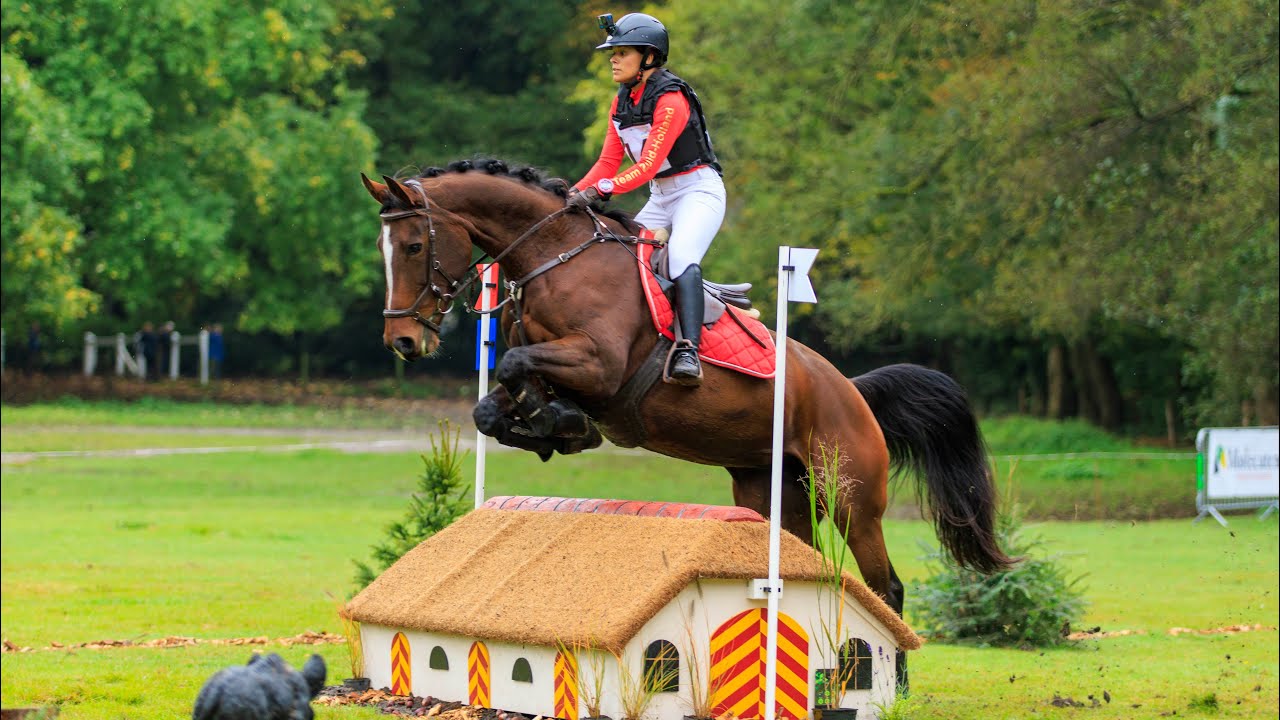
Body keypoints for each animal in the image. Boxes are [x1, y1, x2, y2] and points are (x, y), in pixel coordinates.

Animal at [362, 158, 1016, 624]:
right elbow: (492, 404)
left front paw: (563, 424)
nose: (403, 341)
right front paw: (552, 426)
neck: (556, 258)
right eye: (382, 250)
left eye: (415, 247)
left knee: (886, 586)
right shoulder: (553, 368)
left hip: (851, 495)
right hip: (771, 492)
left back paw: (888, 683)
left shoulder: (599, 366)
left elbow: (516, 365)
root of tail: (851, 392)